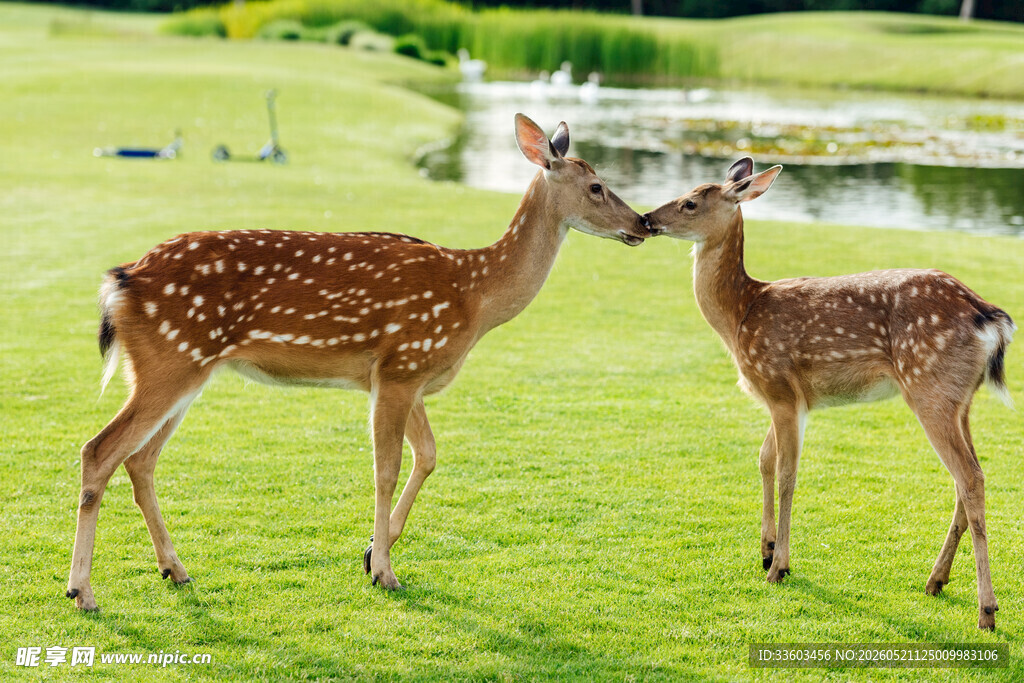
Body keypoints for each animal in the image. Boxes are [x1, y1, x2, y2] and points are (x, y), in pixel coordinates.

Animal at [66, 114, 649, 611]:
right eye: (596, 186)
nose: (642, 222)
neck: (475, 296)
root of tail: (119, 282)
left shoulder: (402, 374)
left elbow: (428, 456)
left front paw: (372, 551)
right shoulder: (401, 367)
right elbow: (385, 469)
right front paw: (385, 571)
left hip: (182, 370)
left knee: (140, 460)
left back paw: (175, 569)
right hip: (170, 361)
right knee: (100, 449)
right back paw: (83, 591)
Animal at [643, 158, 1015, 630]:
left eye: (690, 202)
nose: (647, 219)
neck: (740, 315)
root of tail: (991, 318)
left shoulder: (780, 386)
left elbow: (787, 473)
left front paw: (779, 567)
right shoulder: (785, 397)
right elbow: (764, 460)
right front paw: (765, 551)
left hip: (928, 386)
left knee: (969, 478)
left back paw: (986, 610)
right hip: (959, 398)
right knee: (969, 477)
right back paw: (936, 581)